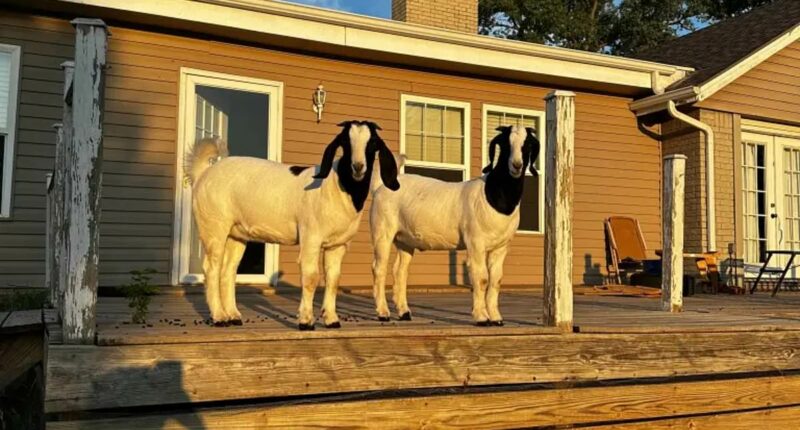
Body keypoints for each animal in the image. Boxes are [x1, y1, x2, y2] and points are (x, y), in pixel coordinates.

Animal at [186, 121, 399, 330]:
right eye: (345, 142)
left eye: (372, 144)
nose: (358, 166)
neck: (338, 186)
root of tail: (203, 174)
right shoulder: (311, 237)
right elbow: (311, 277)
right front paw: (306, 321)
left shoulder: (337, 245)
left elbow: (333, 279)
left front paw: (331, 320)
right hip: (214, 227)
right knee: (211, 268)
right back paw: (219, 317)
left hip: (236, 234)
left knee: (228, 271)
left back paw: (233, 316)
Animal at [369, 125, 539, 325]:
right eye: (505, 144)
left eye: (528, 145)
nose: (517, 165)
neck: (492, 195)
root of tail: (381, 186)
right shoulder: (475, 243)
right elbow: (481, 278)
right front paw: (482, 317)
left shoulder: (501, 247)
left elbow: (496, 280)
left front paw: (496, 318)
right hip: (382, 231)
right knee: (379, 269)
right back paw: (383, 313)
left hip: (405, 240)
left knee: (400, 271)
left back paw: (404, 313)